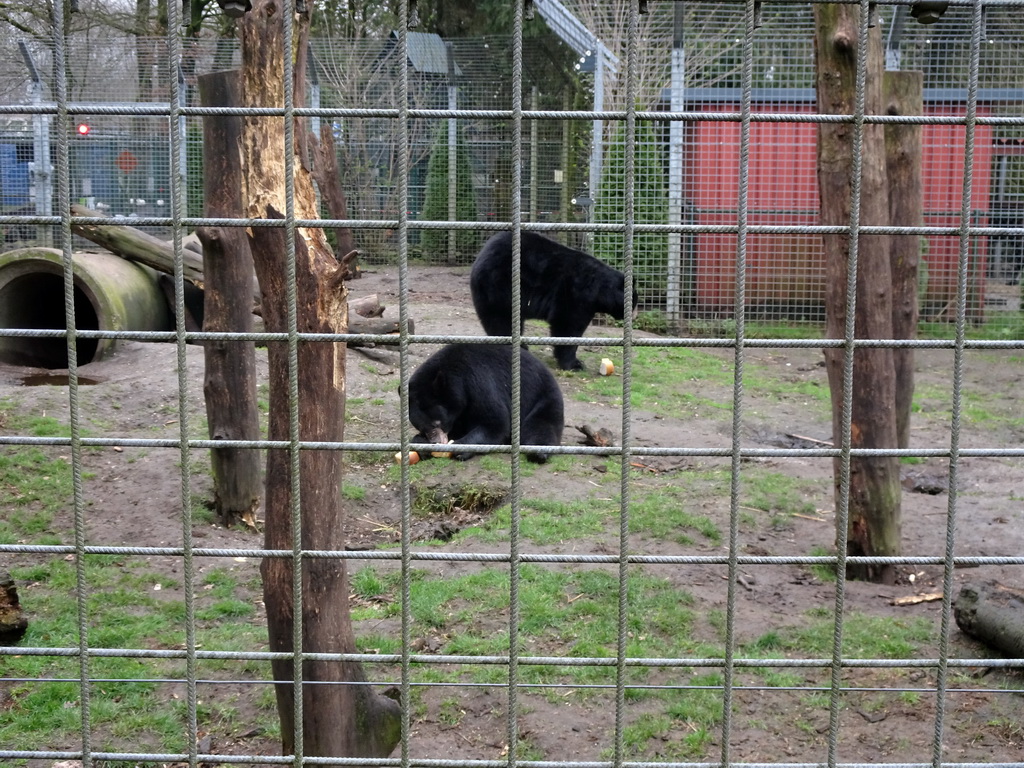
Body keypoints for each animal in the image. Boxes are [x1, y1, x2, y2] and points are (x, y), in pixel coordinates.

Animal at [407, 348, 569, 466]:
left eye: (437, 423)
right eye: (423, 428)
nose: (436, 442)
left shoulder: (480, 382)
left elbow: (495, 424)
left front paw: (461, 448)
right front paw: (420, 444)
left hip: (543, 397)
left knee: (541, 425)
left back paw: (538, 453)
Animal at [468, 230, 630, 370]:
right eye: (633, 301)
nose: (632, 314)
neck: (600, 290)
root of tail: (480, 255)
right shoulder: (576, 292)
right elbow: (568, 324)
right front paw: (574, 363)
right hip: (499, 287)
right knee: (501, 321)